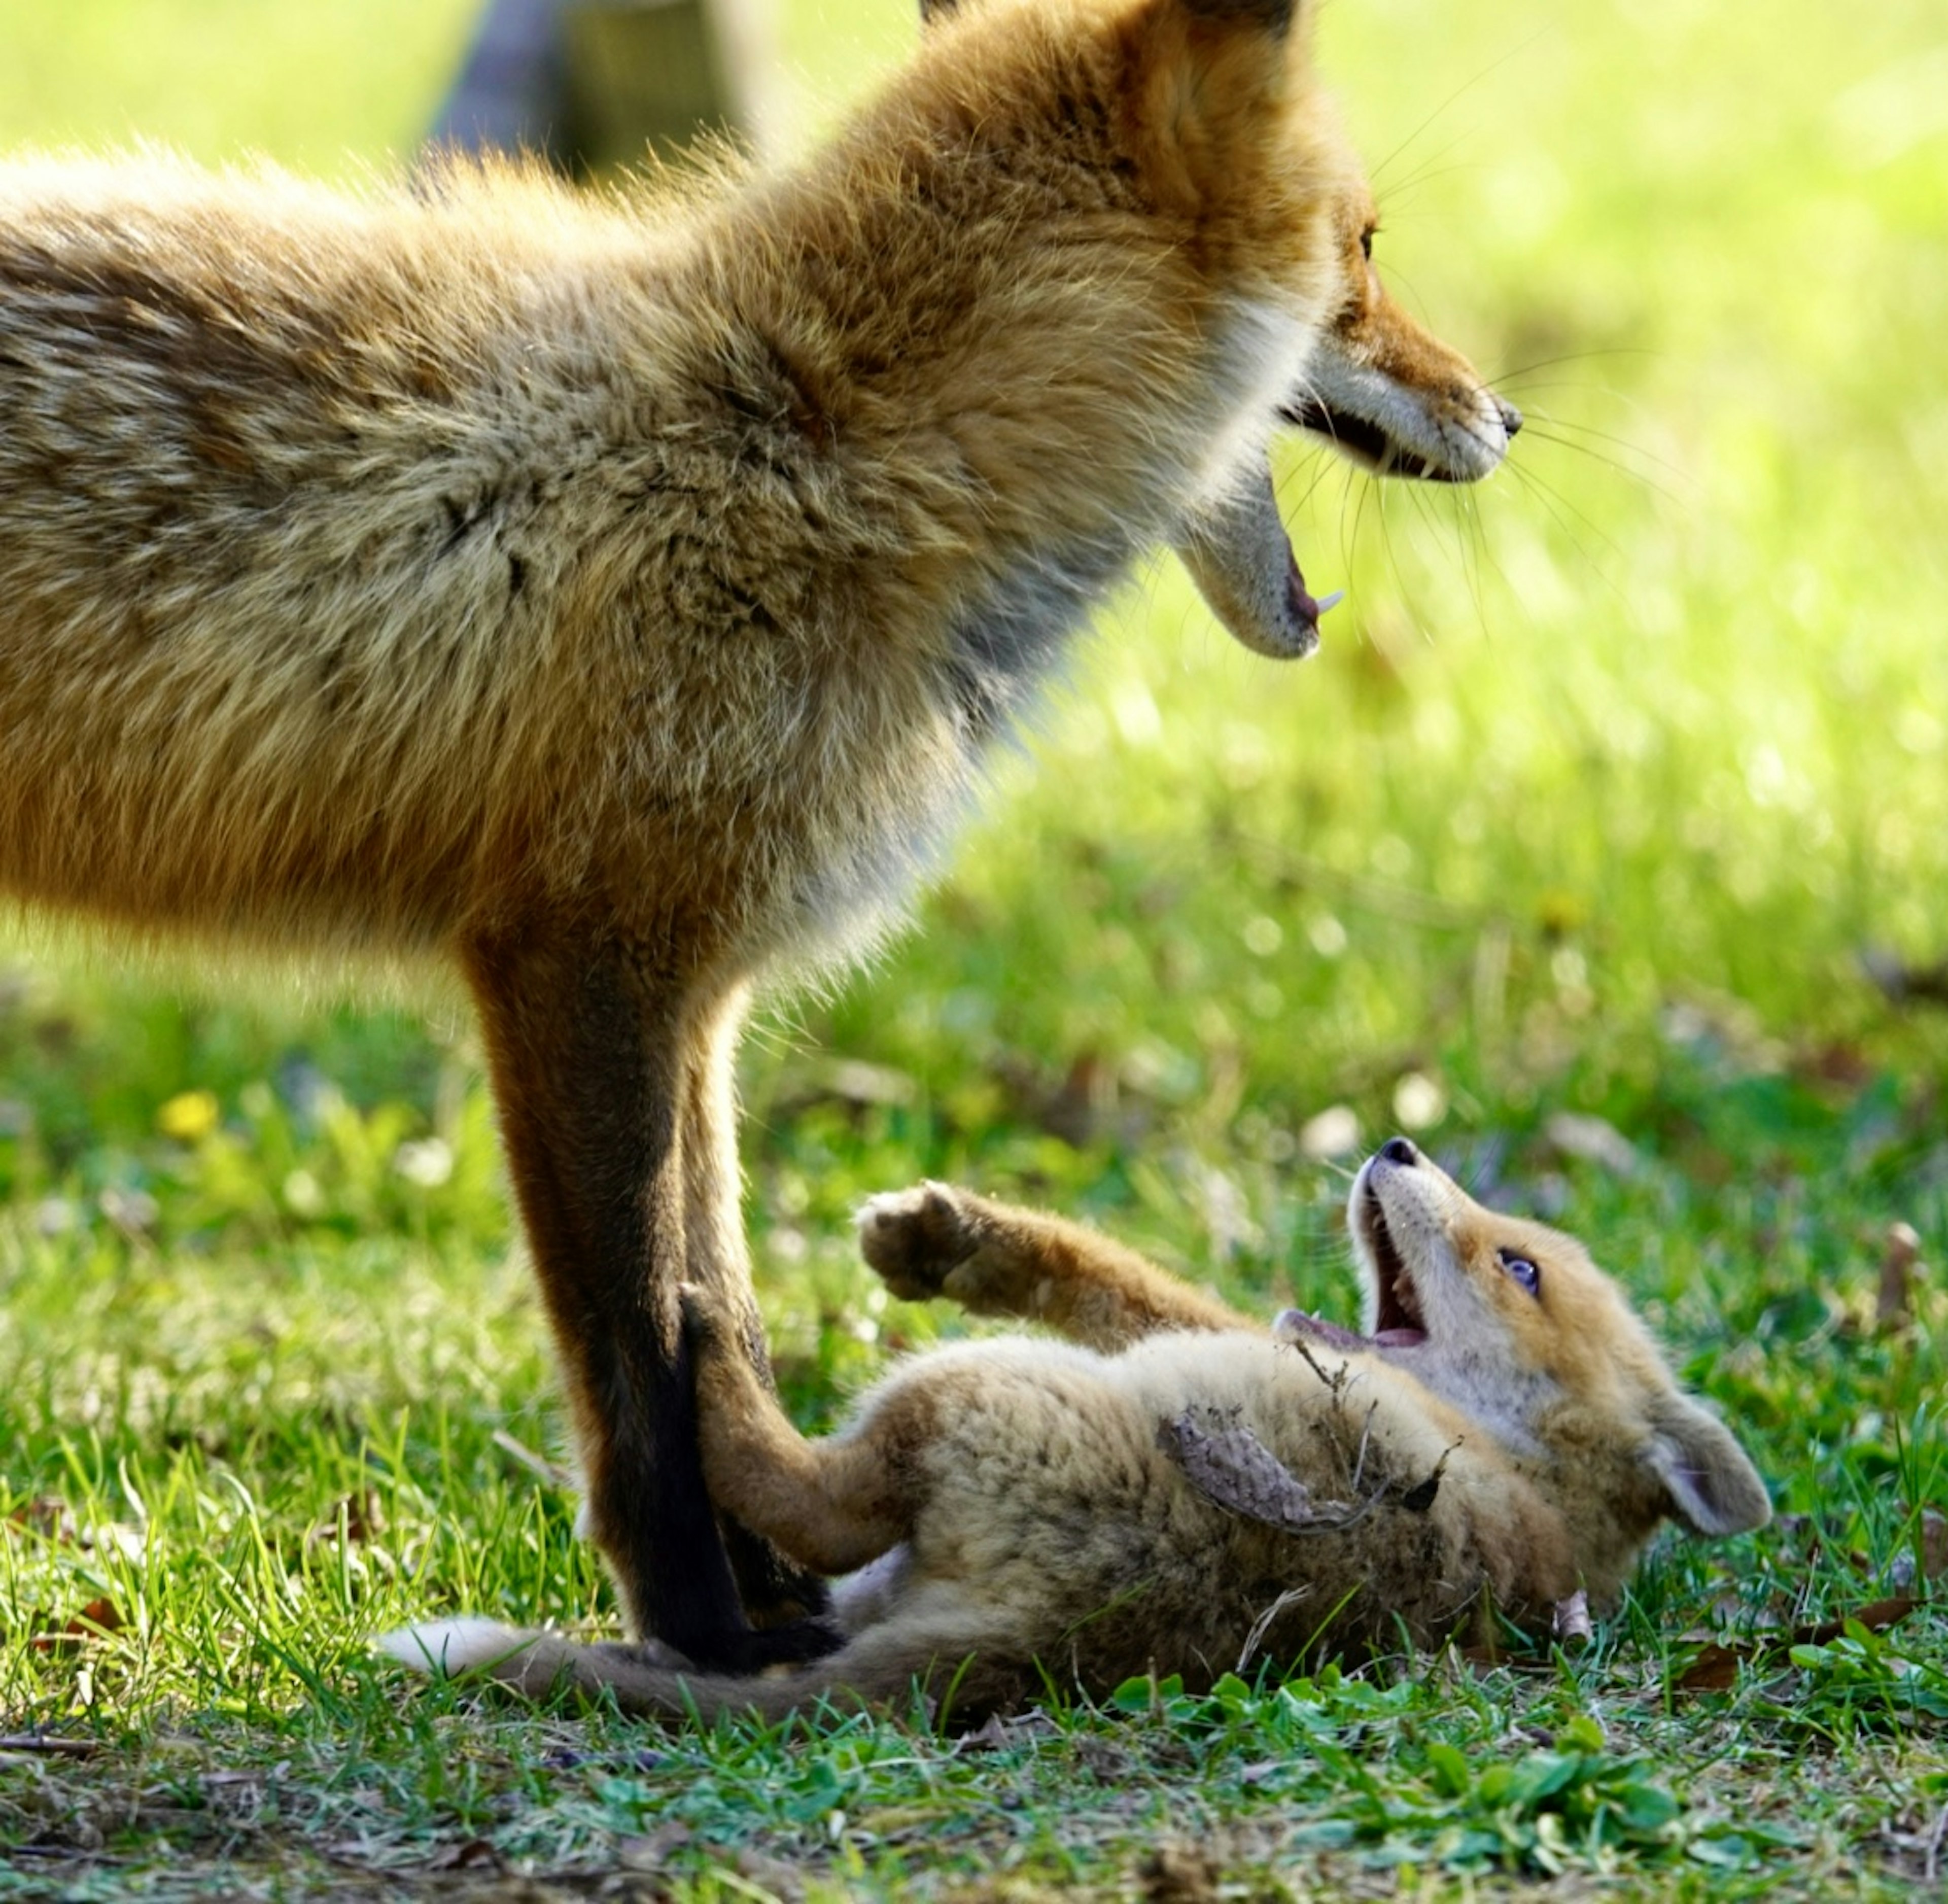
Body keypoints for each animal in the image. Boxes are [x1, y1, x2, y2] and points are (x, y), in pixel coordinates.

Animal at [0, 0, 1519, 1668]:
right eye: (1362, 248)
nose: (1506, 415)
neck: (802, 432)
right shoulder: (574, 954)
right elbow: (634, 1343)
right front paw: (700, 1628)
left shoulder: (699, 986)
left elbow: (708, 1288)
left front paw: (774, 1589)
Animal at [388, 1138, 1777, 1730]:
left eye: (1518, 1267)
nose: (1395, 1141)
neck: (1518, 1476)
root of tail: (1052, 1643)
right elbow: (1103, 1269)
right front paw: (947, 1237)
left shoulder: (1197, 1332)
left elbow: (1118, 1276)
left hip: (970, 1386)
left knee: (819, 1501)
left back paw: (716, 1352)